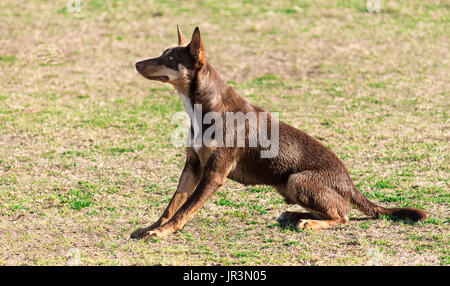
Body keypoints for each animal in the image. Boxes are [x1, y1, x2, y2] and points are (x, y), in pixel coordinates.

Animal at [130, 25, 426, 239]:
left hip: (297, 180)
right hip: (288, 185)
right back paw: (294, 216)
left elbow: (185, 209)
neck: (202, 105)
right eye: (162, 53)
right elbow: (172, 205)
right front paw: (153, 227)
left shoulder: (214, 173)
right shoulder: (192, 167)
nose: (136, 64)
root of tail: (350, 184)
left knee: (342, 216)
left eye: (170, 58)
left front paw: (163, 232)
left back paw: (307, 222)